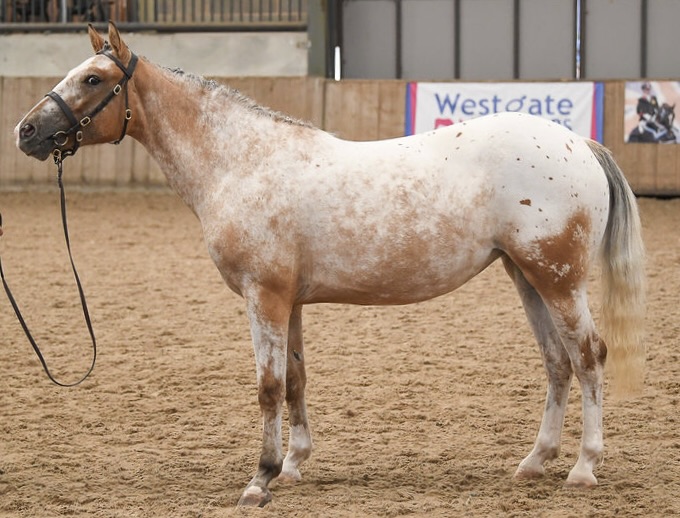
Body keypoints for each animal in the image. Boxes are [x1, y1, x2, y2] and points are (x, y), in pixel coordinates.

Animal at [15, 22, 645, 507]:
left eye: (93, 79)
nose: (26, 130)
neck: (241, 163)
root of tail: (578, 143)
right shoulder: (289, 301)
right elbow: (296, 379)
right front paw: (293, 465)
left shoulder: (264, 296)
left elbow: (268, 387)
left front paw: (259, 480)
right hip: (526, 277)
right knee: (557, 362)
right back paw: (535, 461)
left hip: (558, 281)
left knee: (588, 357)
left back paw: (583, 467)